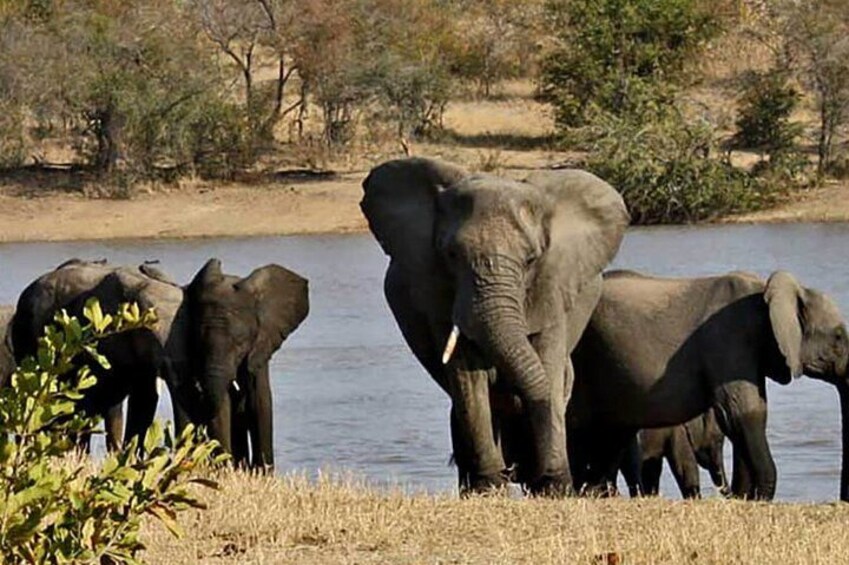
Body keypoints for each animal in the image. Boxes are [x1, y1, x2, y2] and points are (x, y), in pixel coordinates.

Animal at [184, 258, 309, 470]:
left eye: (241, 344)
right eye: (199, 342)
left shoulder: (260, 345)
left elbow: (259, 403)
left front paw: (263, 473)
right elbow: (224, 405)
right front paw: (226, 470)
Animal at [360, 157, 629, 495]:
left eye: (531, 260)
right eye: (451, 255)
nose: (529, 471)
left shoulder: (553, 287)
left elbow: (548, 365)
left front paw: (554, 486)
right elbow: (467, 378)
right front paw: (489, 487)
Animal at [569, 269, 849, 501]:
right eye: (838, 337)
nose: (842, 500)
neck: (767, 291)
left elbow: (746, 414)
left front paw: (745, 498)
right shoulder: (729, 341)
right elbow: (742, 413)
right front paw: (758, 499)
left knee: (614, 433)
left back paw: (592, 492)